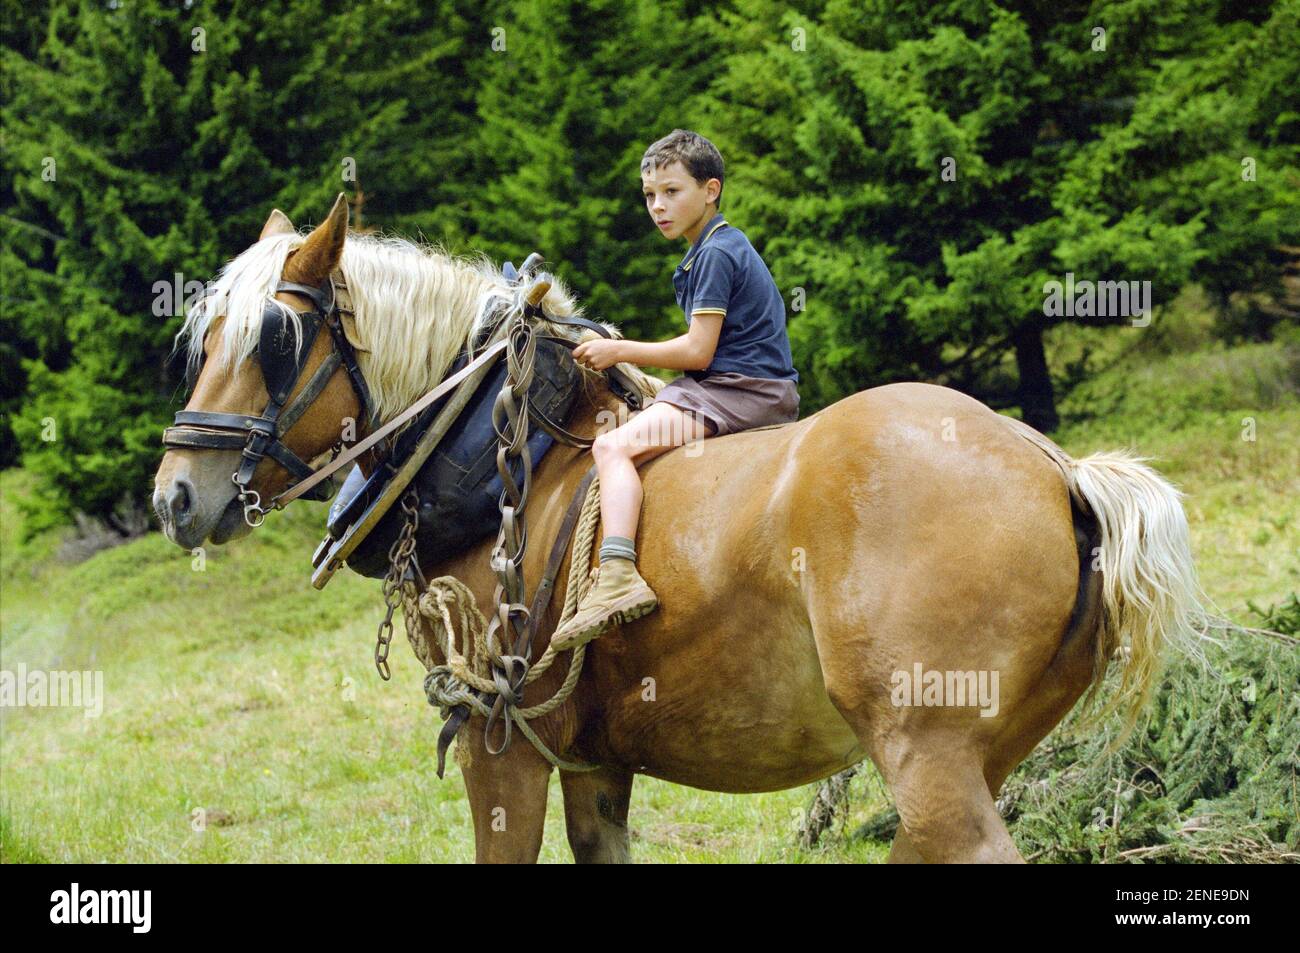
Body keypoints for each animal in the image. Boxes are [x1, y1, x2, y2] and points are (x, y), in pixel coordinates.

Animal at [154, 195, 1206, 863]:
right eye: (202, 339)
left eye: (276, 340)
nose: (173, 495)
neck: (507, 462)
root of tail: (1056, 467)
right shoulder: (593, 764)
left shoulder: (503, 746)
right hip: (979, 757)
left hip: (929, 755)